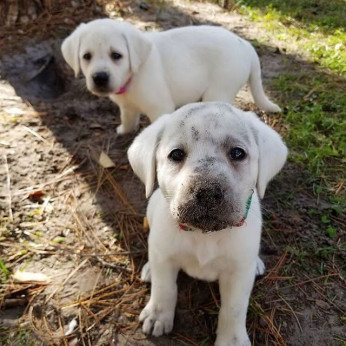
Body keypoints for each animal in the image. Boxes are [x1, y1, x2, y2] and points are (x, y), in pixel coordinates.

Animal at [61, 18, 282, 135]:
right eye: (86, 57)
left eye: (116, 55)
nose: (99, 77)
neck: (134, 75)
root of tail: (245, 44)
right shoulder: (127, 107)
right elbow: (128, 118)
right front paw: (124, 130)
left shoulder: (160, 108)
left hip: (220, 89)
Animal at [127, 101, 286, 344]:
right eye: (176, 154)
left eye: (237, 153)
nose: (208, 192)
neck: (205, 235)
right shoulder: (165, 256)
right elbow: (164, 288)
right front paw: (158, 314)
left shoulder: (238, 274)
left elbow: (234, 309)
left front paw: (232, 340)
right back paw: (149, 270)